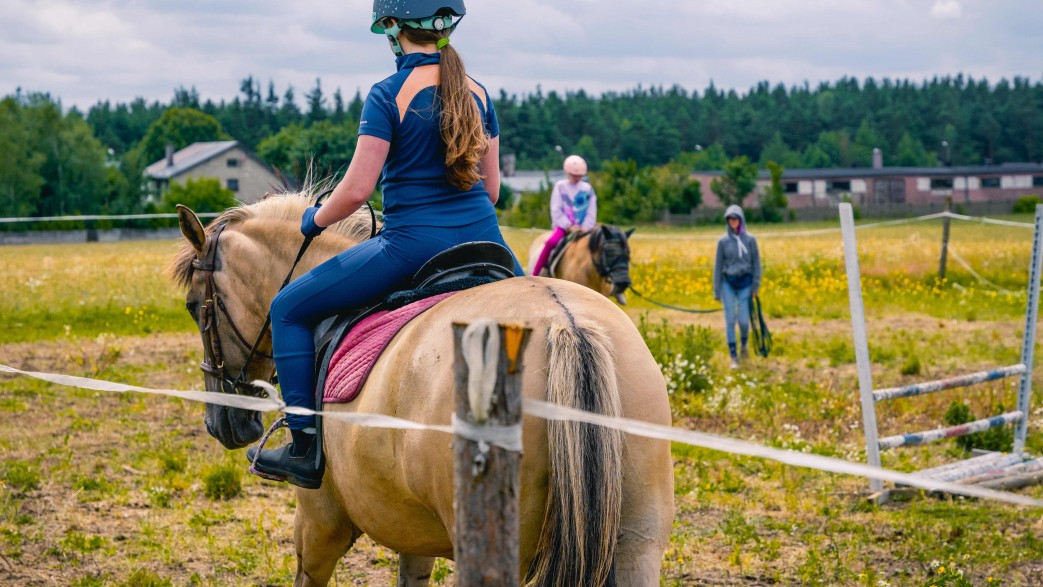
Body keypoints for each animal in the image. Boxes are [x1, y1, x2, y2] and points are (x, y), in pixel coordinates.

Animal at [168, 192, 675, 587]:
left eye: (194, 307)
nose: (222, 423)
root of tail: (564, 322)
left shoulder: (317, 522)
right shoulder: (411, 527)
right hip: (637, 546)